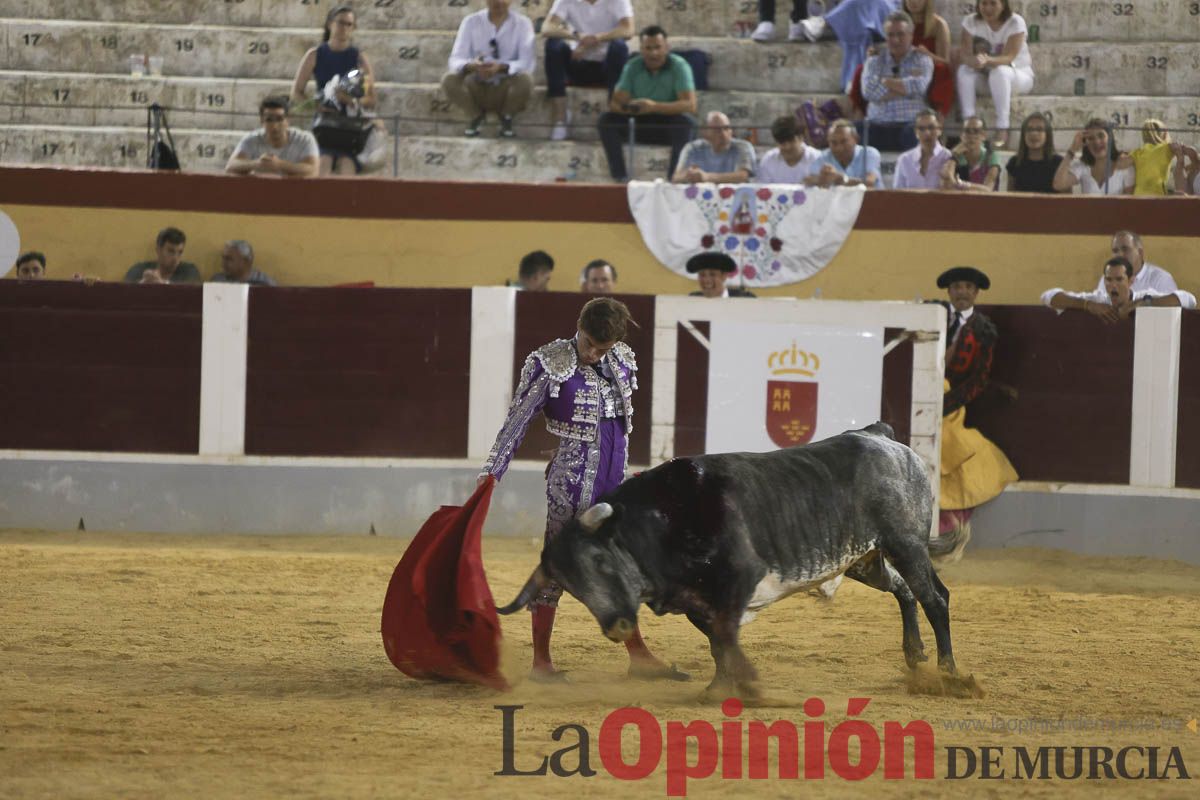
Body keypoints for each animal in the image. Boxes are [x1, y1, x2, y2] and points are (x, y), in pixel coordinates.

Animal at [496, 422, 964, 695]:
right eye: (571, 587)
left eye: (601, 561)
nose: (618, 626)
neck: (663, 520)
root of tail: (882, 437)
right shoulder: (696, 600)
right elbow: (716, 642)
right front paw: (721, 688)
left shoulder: (739, 579)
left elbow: (724, 636)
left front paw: (743, 686)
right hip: (865, 558)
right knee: (905, 590)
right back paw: (914, 655)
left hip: (905, 542)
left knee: (934, 596)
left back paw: (950, 673)